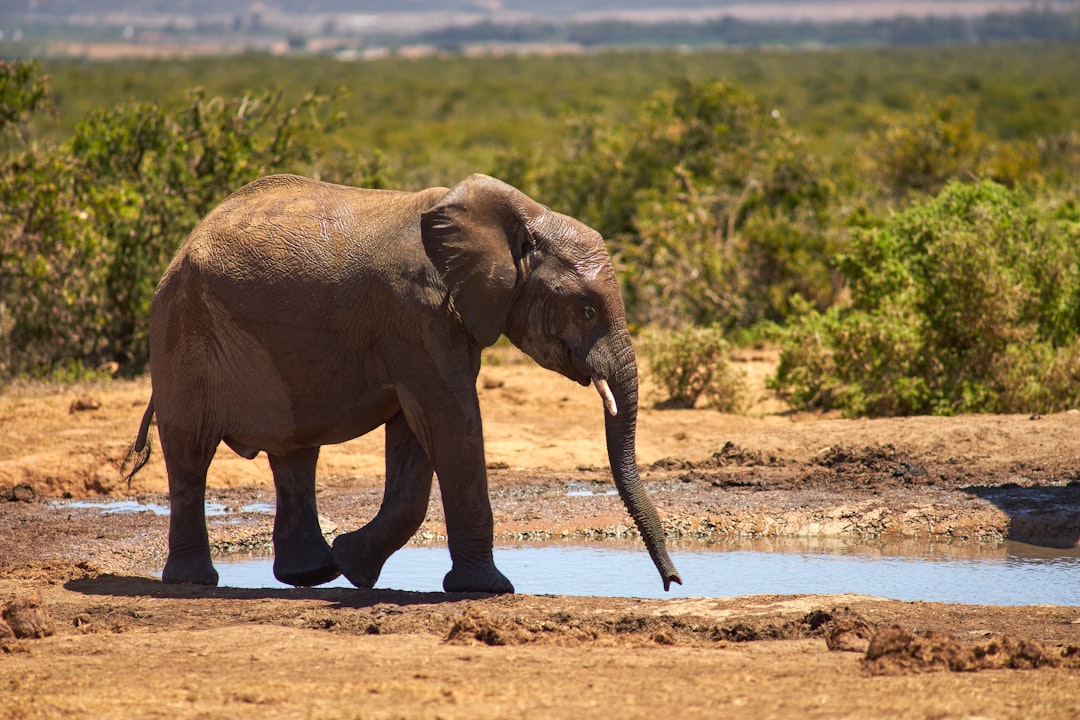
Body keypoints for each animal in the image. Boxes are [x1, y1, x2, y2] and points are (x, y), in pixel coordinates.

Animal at [124, 171, 682, 595]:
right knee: (191, 452)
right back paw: (194, 581)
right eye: (586, 309)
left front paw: (354, 564)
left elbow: (417, 436)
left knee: (295, 453)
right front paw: (487, 589)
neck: (516, 216)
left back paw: (313, 573)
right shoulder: (414, 314)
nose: (674, 582)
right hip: (182, 332)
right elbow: (451, 423)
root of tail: (186, 243)